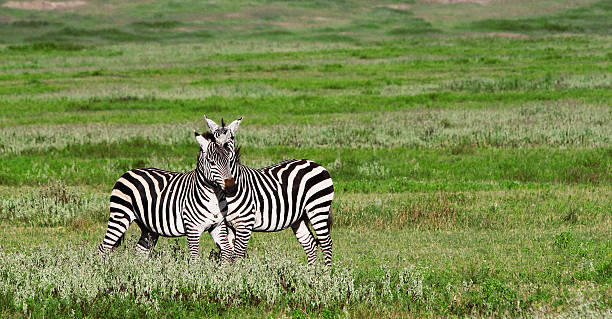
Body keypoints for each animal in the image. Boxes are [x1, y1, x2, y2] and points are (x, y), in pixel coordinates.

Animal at [98, 131, 237, 262]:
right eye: (212, 162)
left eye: (229, 161)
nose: (231, 188)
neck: (214, 198)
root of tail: (128, 172)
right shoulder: (193, 229)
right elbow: (194, 258)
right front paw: (194, 271)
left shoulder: (217, 226)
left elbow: (227, 251)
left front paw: (224, 271)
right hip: (120, 215)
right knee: (103, 247)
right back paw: (103, 269)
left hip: (148, 227)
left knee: (140, 251)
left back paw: (140, 269)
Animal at [204, 116, 334, 266]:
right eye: (214, 137)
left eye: (231, 137)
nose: (223, 147)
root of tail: (316, 164)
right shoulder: (228, 225)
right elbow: (229, 252)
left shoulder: (245, 223)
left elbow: (238, 254)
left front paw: (239, 272)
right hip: (299, 217)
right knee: (310, 243)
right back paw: (310, 272)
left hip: (318, 207)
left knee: (326, 243)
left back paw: (326, 272)